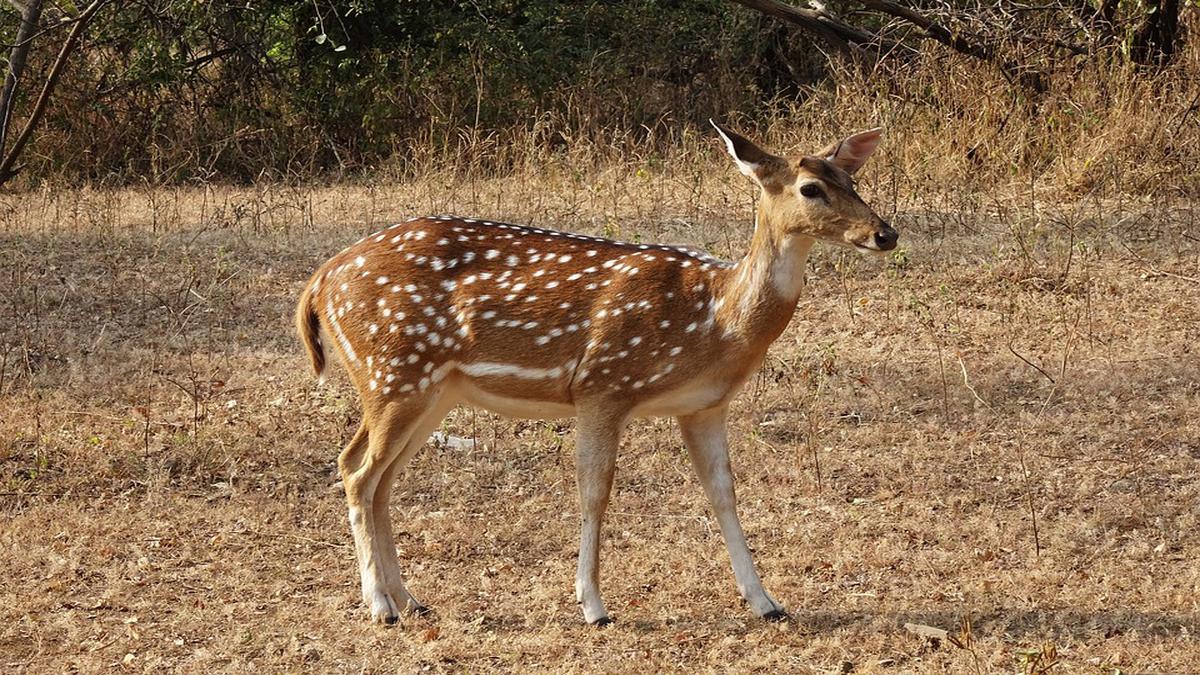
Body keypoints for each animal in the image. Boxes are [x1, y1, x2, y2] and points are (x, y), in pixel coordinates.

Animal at [297, 121, 902, 624]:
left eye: (852, 178)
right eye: (811, 188)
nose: (885, 233)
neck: (716, 320)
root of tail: (320, 281)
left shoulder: (704, 405)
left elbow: (724, 492)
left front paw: (767, 602)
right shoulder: (603, 385)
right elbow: (595, 491)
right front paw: (593, 606)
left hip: (429, 390)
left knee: (379, 478)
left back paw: (411, 600)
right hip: (393, 373)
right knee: (357, 470)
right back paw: (380, 606)